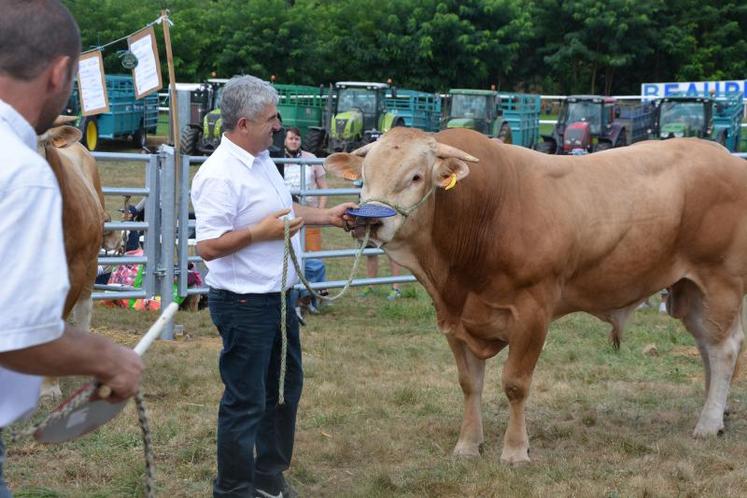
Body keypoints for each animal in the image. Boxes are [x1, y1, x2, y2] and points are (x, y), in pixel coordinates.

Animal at [326, 127, 747, 462]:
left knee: (724, 349)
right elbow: (469, 384)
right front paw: (467, 446)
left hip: (720, 280)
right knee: (707, 349)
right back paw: (716, 415)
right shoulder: (455, 320)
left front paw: (515, 451)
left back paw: (707, 423)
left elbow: (515, 384)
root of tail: (724, 156)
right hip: (690, 290)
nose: (368, 221)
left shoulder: (533, 312)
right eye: (363, 176)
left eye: (415, 176)